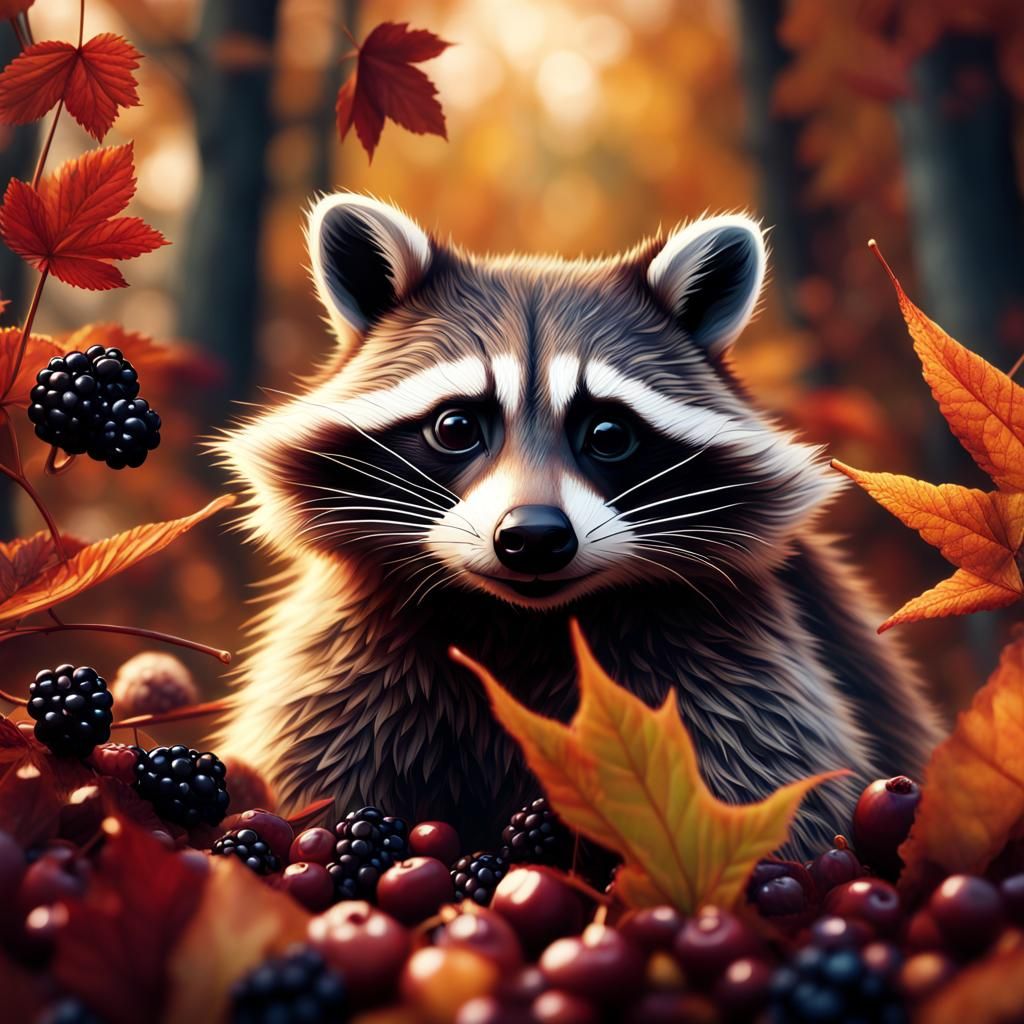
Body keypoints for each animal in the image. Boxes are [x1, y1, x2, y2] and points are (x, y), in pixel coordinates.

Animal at [214, 193, 944, 855]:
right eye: (456, 426)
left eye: (609, 434)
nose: (533, 538)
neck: (521, 626)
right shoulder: (354, 658)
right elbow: (316, 764)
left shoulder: (726, 666)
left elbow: (774, 786)